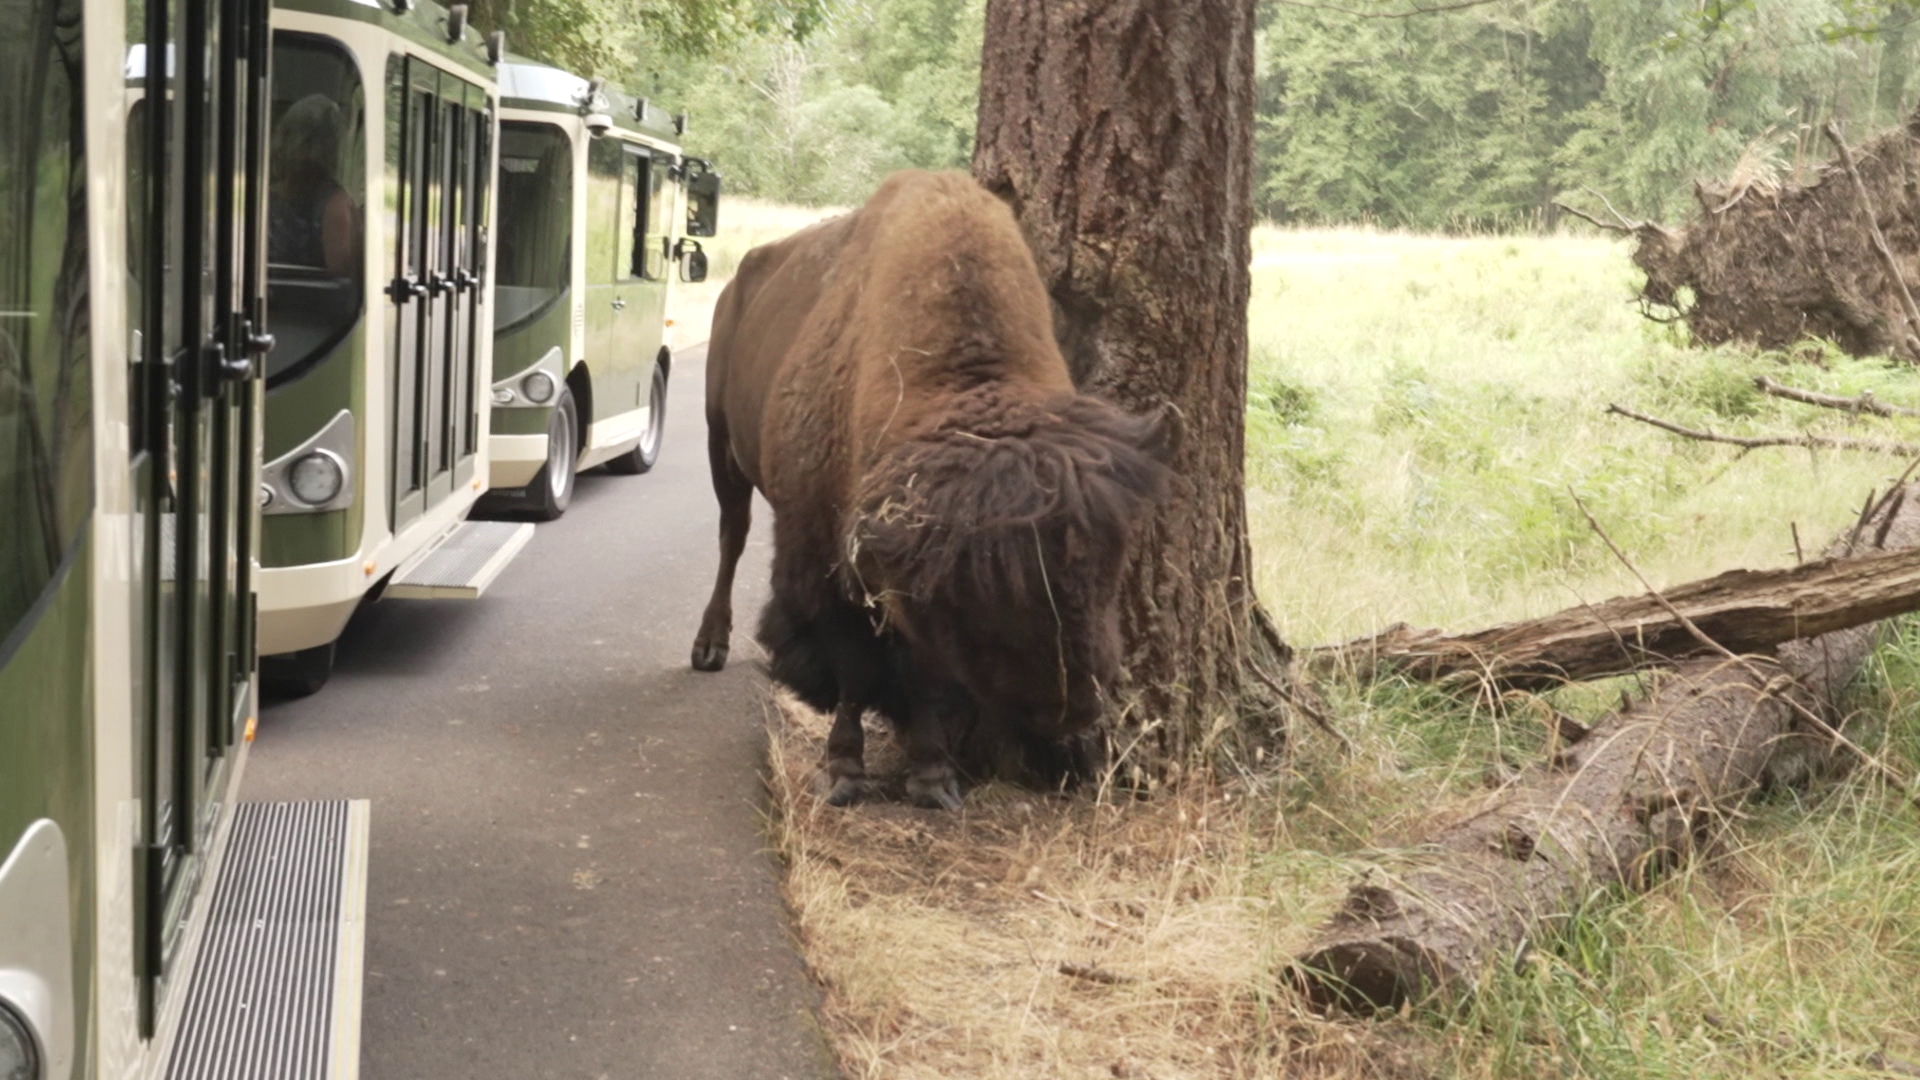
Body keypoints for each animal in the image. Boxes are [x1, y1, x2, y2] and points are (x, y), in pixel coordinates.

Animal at [691, 170, 1167, 807]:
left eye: (1110, 566)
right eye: (994, 594)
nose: (1072, 708)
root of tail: (738, 285)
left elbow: (925, 673)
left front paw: (932, 774)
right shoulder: (831, 565)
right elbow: (856, 666)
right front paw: (845, 771)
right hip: (722, 447)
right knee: (731, 536)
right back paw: (709, 646)